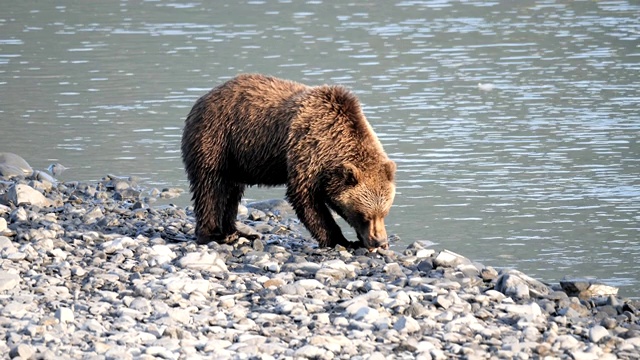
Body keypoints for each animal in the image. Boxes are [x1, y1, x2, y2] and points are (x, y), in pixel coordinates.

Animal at [180, 74, 398, 249]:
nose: (380, 242)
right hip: (216, 139)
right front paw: (341, 240)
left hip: (235, 158)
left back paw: (238, 232)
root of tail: (202, 98)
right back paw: (213, 234)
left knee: (232, 192)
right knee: (210, 187)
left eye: (384, 213)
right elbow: (305, 198)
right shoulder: (306, 152)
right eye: (364, 215)